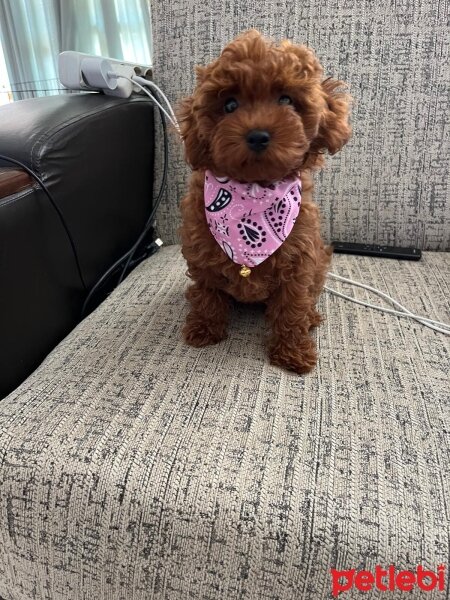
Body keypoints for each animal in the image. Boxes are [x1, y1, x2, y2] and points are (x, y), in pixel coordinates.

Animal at [178, 30, 350, 376]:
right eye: (229, 104)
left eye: (286, 99)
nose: (257, 135)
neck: (252, 193)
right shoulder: (200, 254)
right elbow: (206, 293)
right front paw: (204, 329)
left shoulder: (299, 261)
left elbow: (292, 307)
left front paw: (292, 352)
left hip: (319, 263)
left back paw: (311, 317)